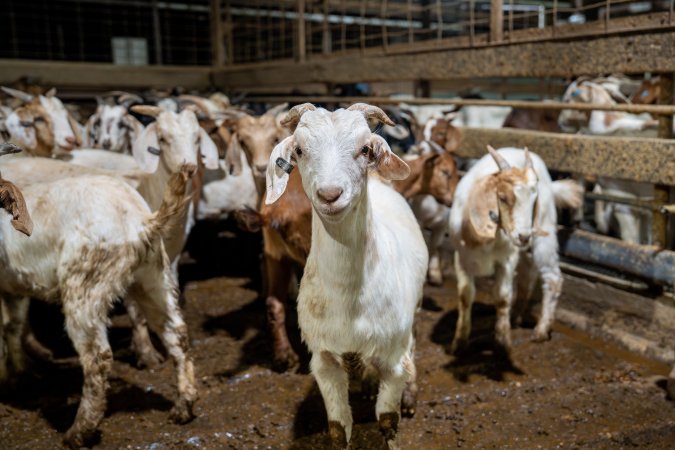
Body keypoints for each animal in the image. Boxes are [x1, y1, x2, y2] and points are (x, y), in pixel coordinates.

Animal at [0, 146, 197, 448]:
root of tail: (141, 221)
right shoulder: (14, 283)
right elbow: (12, 326)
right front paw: (18, 376)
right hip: (152, 278)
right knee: (176, 332)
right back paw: (183, 406)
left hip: (85, 285)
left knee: (97, 357)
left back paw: (79, 431)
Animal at [265, 103, 428, 448]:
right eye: (299, 150)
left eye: (365, 149)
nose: (330, 194)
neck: (348, 296)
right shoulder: (323, 359)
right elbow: (339, 428)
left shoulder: (393, 358)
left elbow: (388, 421)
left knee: (413, 344)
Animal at [448, 146, 583, 354]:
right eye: (502, 198)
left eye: (534, 200)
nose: (524, 236)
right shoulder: (461, 257)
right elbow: (465, 296)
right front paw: (459, 342)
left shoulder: (507, 259)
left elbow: (503, 297)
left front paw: (502, 341)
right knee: (528, 276)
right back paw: (517, 316)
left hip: (544, 232)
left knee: (552, 277)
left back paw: (541, 330)